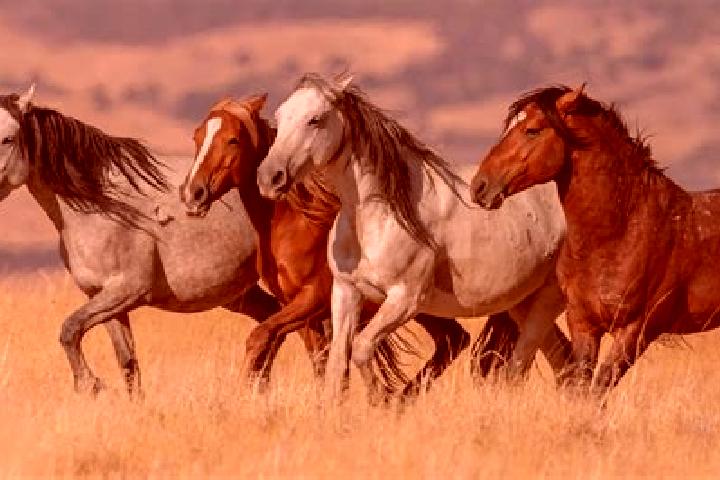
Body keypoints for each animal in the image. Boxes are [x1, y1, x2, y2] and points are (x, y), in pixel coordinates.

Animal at [0, 85, 326, 397]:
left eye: (8, 138)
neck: (103, 205)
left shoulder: (126, 291)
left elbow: (69, 329)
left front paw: (90, 384)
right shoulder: (103, 299)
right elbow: (127, 363)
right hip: (243, 295)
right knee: (275, 325)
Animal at [178, 94, 485, 398]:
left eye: (233, 140)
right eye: (197, 136)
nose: (193, 194)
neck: (295, 224)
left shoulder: (312, 298)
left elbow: (261, 337)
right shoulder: (299, 309)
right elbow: (318, 361)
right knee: (453, 339)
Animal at [256, 73, 573, 402]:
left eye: (315, 119)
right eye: (279, 117)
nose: (270, 177)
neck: (379, 217)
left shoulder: (405, 299)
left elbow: (362, 348)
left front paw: (382, 401)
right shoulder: (345, 292)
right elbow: (336, 365)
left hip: (548, 300)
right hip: (522, 303)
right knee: (562, 358)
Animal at [471, 85, 720, 394]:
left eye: (532, 130)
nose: (479, 186)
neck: (620, 234)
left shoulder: (635, 331)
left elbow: (598, 389)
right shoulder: (583, 324)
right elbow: (581, 387)